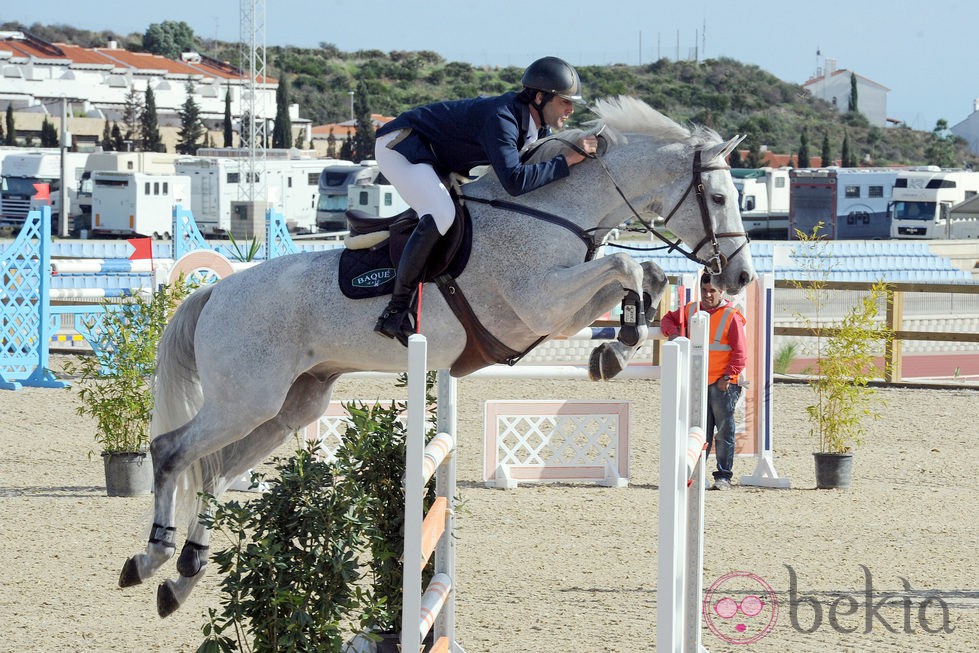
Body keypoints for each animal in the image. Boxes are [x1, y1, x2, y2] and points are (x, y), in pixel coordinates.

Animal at [117, 94, 756, 612]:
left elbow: (642, 273)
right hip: (245, 399)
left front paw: (619, 345)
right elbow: (626, 264)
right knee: (172, 453)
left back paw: (183, 575)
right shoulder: (541, 303)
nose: (742, 276)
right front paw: (621, 342)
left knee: (217, 472)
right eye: (719, 195)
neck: (554, 209)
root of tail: (216, 292)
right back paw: (151, 559)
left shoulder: (561, 309)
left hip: (289, 405)